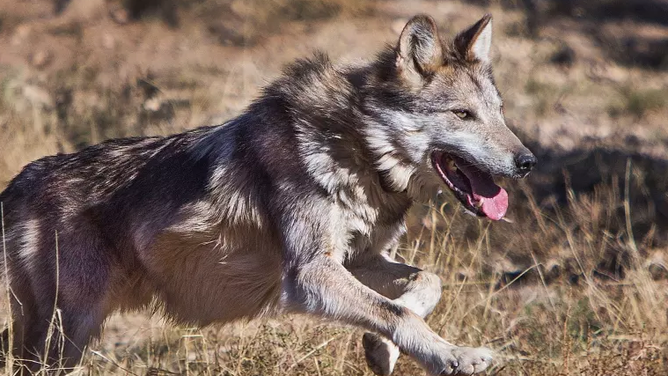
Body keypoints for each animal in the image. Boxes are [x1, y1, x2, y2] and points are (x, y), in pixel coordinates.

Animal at [0, 13, 536, 374]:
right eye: (462, 115)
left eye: (499, 112)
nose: (527, 162)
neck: (355, 149)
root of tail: (19, 181)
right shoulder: (309, 275)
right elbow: (398, 312)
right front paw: (453, 356)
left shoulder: (358, 259)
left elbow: (424, 286)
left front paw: (379, 349)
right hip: (66, 335)